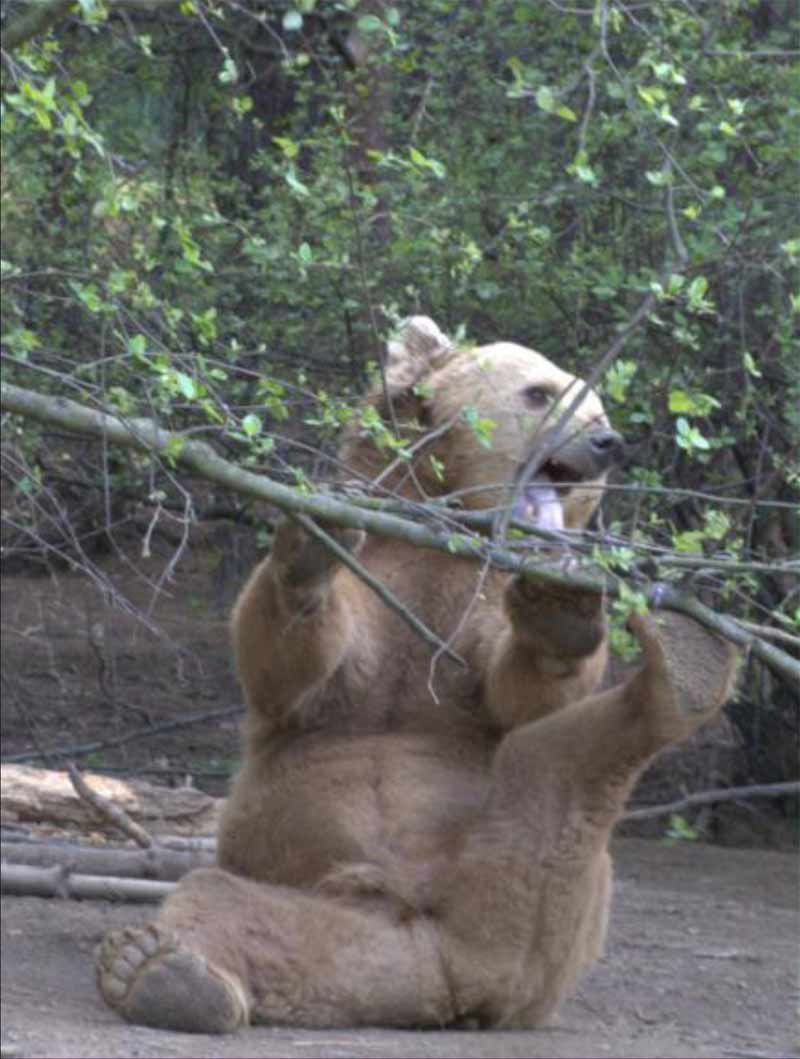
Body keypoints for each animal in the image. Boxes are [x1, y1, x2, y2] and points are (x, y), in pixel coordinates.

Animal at [98, 313, 737, 1033]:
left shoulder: (477, 604)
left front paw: (561, 603)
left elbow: (522, 691)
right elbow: (296, 671)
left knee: (559, 771)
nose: (607, 442)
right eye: (542, 393)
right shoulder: (383, 583)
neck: (445, 527)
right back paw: (164, 971)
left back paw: (688, 663)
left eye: (598, 406)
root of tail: (451, 975)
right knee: (224, 902)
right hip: (335, 924)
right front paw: (310, 543)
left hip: (540, 924)